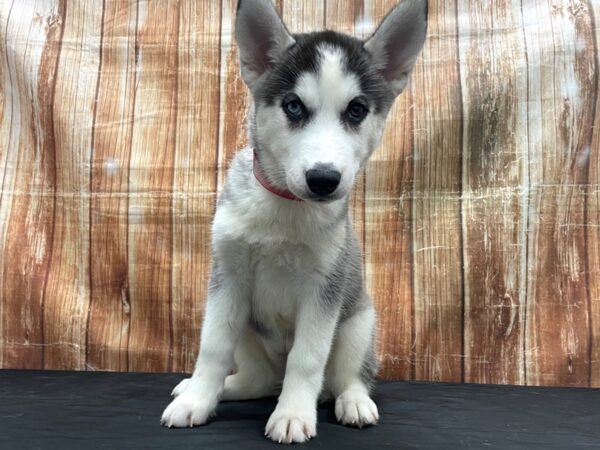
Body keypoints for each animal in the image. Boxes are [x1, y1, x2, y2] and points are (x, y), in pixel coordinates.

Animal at [162, 0, 428, 442]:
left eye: (357, 110)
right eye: (293, 106)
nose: (323, 179)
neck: (285, 209)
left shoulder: (324, 290)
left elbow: (306, 359)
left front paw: (292, 414)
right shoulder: (228, 279)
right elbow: (212, 347)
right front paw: (196, 400)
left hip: (358, 323)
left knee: (347, 377)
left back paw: (352, 401)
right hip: (249, 330)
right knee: (260, 378)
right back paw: (220, 388)